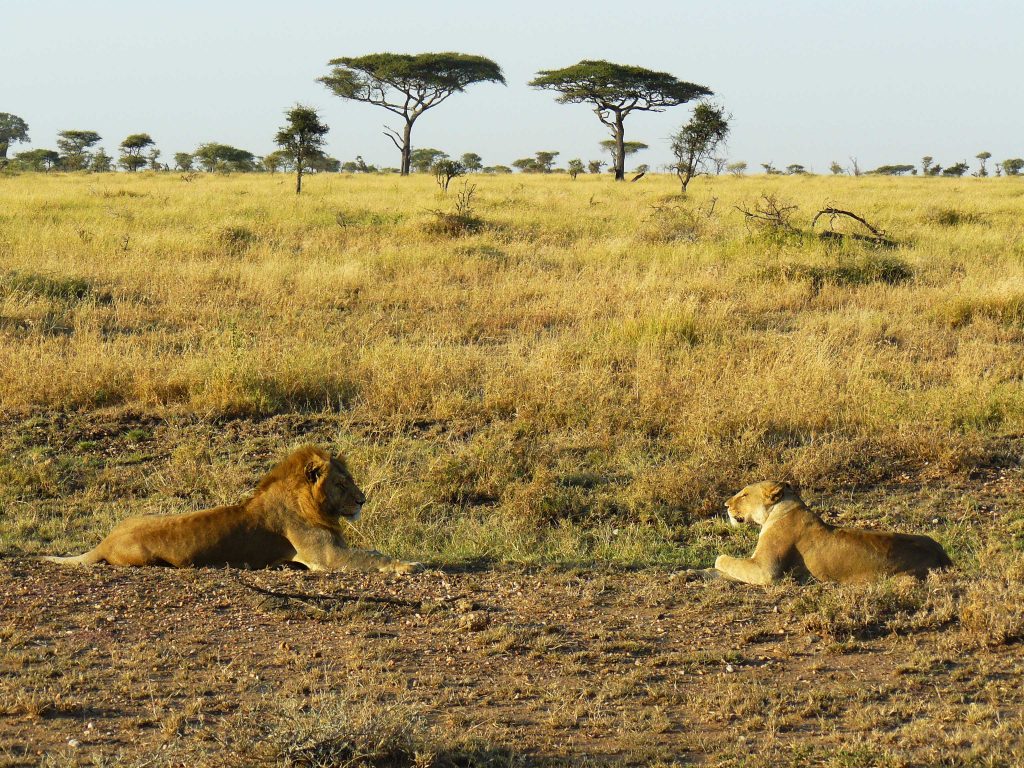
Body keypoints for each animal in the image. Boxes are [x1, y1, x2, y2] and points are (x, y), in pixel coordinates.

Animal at [40, 444, 423, 577]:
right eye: (342, 485)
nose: (362, 500)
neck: (314, 505)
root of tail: (104, 541)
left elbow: (372, 551)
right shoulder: (326, 556)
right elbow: (370, 556)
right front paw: (410, 565)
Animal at [708, 483, 946, 585]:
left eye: (745, 495)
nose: (725, 504)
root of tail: (942, 556)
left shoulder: (766, 570)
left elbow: (726, 561)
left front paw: (717, 559)